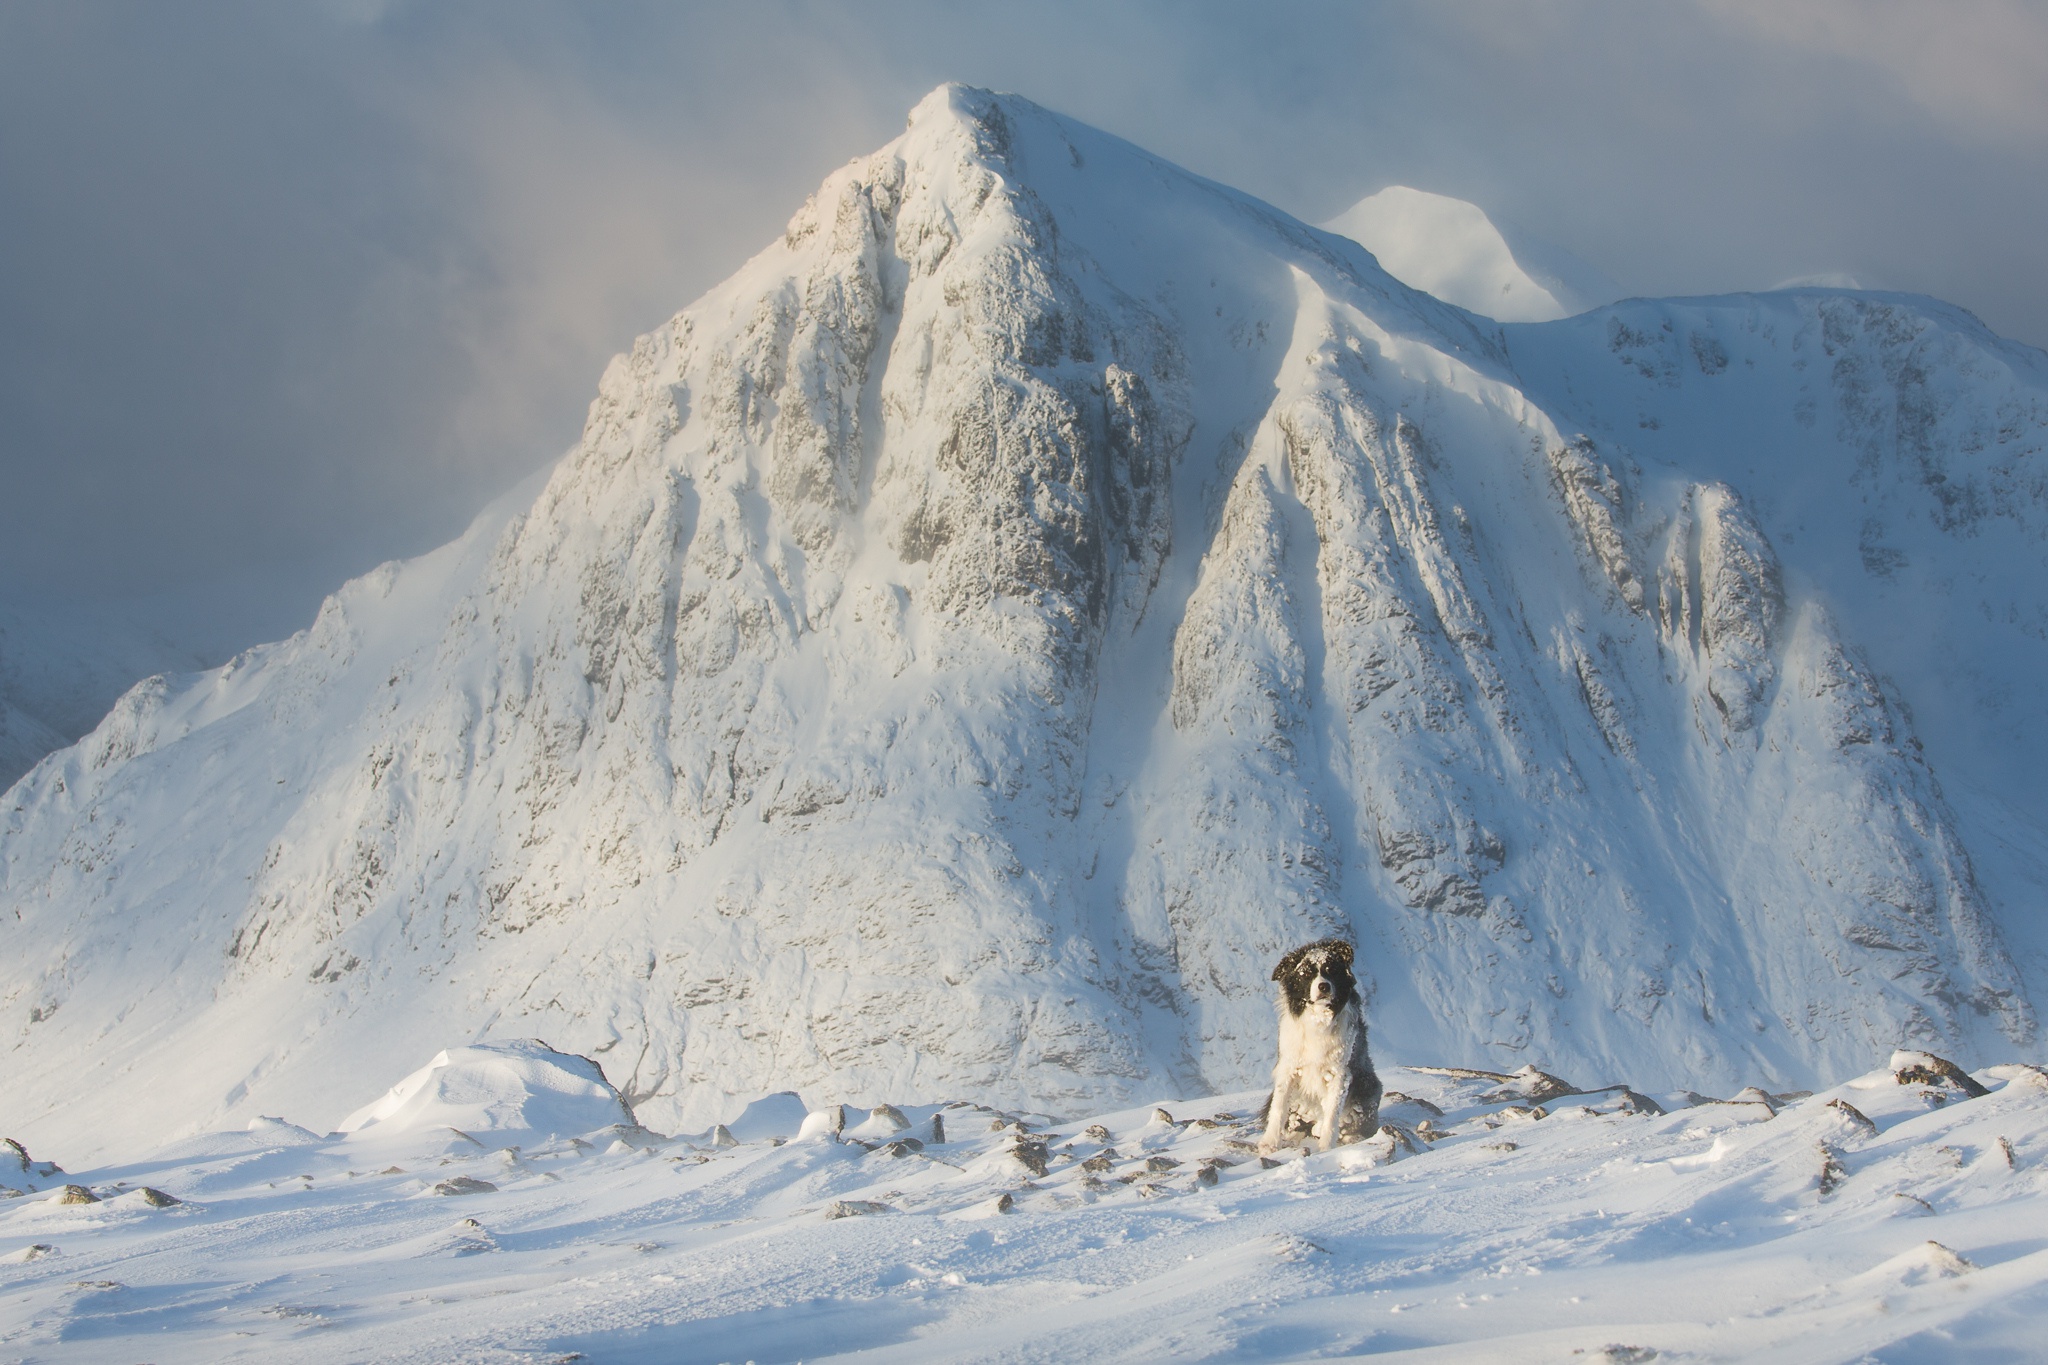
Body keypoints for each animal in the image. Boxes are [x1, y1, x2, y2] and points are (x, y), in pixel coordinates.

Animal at [1253, 941, 1384, 1154]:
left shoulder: (1339, 1072)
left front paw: (1326, 1148)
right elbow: (1279, 1107)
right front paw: (1270, 1143)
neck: (1318, 1019)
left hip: (1367, 1085)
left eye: (1331, 970)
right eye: (1306, 973)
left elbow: (1331, 1114)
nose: (1323, 986)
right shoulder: (1289, 1066)